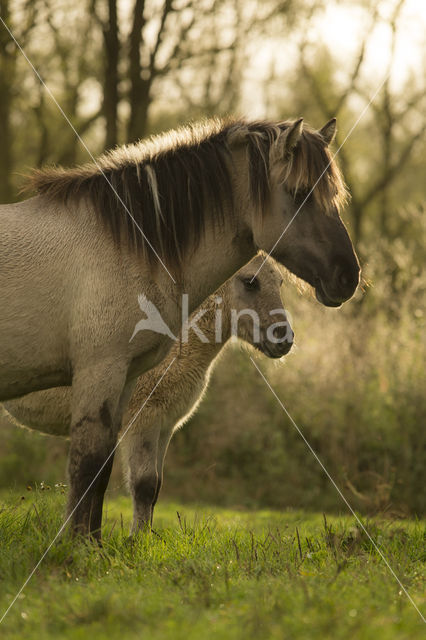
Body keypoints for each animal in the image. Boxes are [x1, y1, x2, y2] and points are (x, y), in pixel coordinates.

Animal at [0, 116, 360, 540]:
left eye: (280, 283)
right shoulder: (119, 393)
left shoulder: (148, 409)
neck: (126, 248)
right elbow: (103, 473)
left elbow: (130, 482)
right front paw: (84, 545)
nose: (348, 276)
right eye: (250, 282)